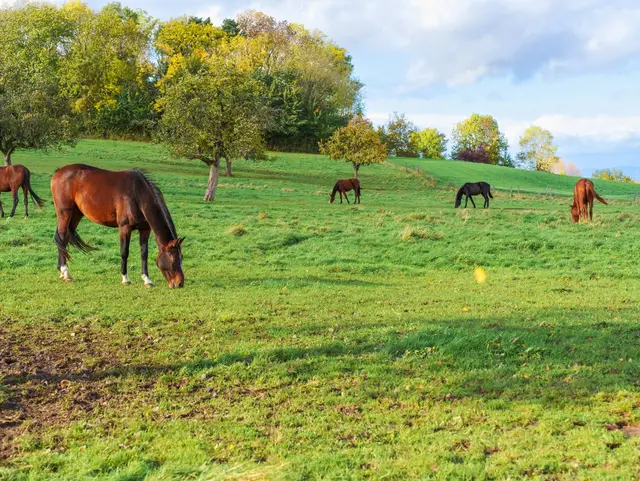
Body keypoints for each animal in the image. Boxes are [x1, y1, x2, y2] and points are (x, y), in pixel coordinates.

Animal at [51, 164, 184, 288]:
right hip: (64, 213)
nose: (180, 283)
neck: (137, 193)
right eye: (174, 258)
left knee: (64, 239)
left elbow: (144, 254)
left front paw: (147, 279)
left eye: (181, 257)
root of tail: (59, 171)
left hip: (76, 214)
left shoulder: (145, 229)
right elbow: (124, 252)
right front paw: (125, 278)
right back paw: (66, 273)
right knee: (61, 238)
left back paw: (61, 272)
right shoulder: (125, 228)